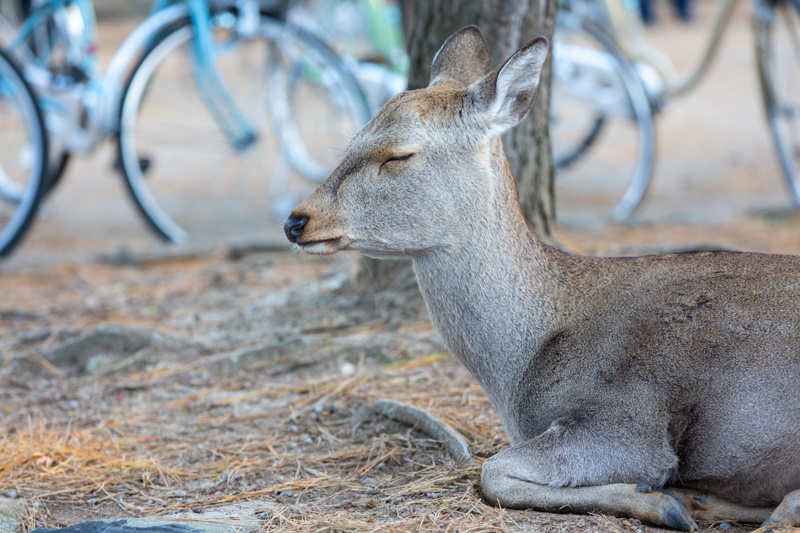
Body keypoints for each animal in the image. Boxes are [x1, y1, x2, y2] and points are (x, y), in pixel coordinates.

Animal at [282, 26, 800, 532]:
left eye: (398, 155)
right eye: (351, 139)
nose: (295, 221)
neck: (519, 369)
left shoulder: (630, 422)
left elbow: (492, 472)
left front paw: (662, 502)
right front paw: (680, 502)